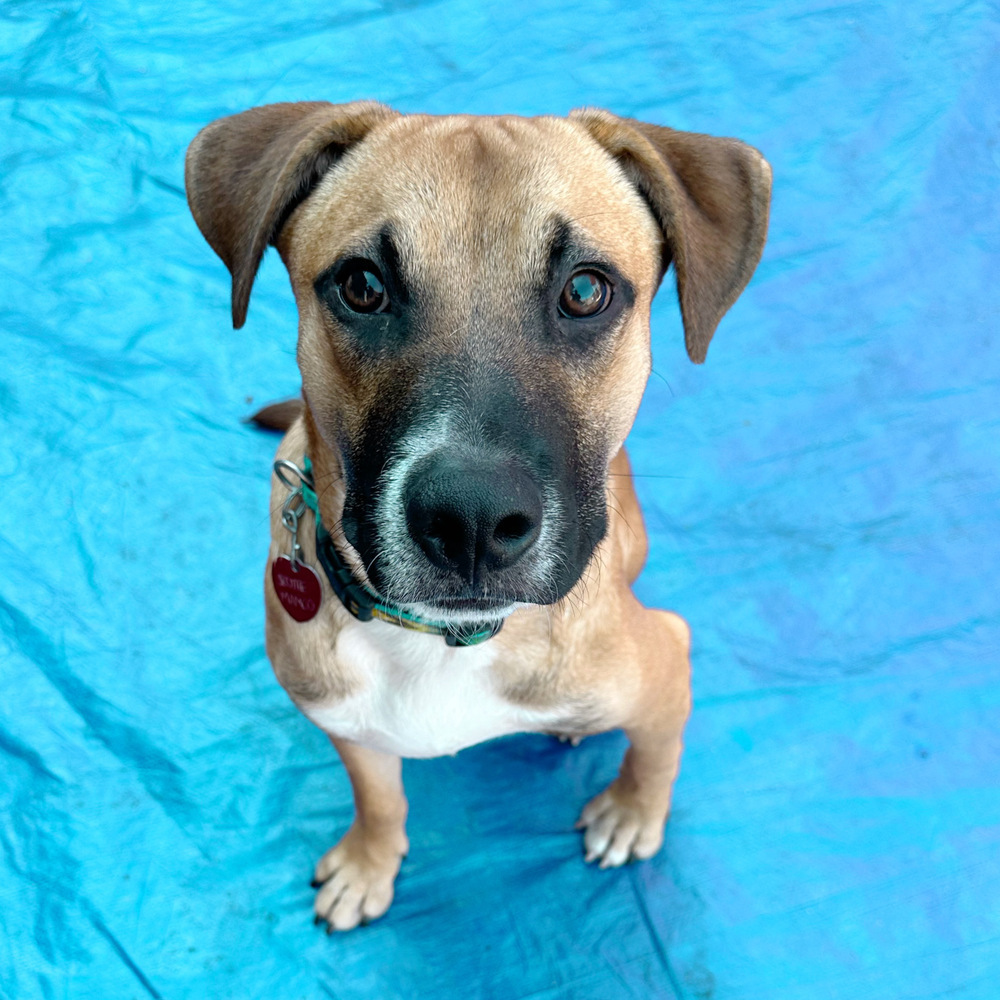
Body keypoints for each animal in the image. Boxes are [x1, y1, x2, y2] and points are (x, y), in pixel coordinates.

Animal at [182, 101, 772, 928]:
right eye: (362, 285)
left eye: (585, 291)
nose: (471, 520)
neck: (439, 641)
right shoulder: (343, 720)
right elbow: (379, 797)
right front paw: (369, 863)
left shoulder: (666, 659)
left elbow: (658, 751)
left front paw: (632, 813)